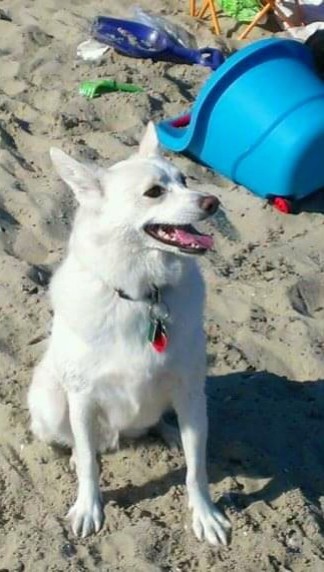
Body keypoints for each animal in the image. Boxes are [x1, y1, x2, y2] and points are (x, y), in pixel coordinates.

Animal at [27, 124, 230, 544]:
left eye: (185, 180)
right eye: (154, 192)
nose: (213, 202)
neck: (143, 295)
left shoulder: (190, 390)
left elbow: (196, 468)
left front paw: (204, 514)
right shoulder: (83, 397)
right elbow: (90, 464)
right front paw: (88, 508)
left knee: (164, 424)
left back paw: (171, 432)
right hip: (52, 404)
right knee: (74, 441)